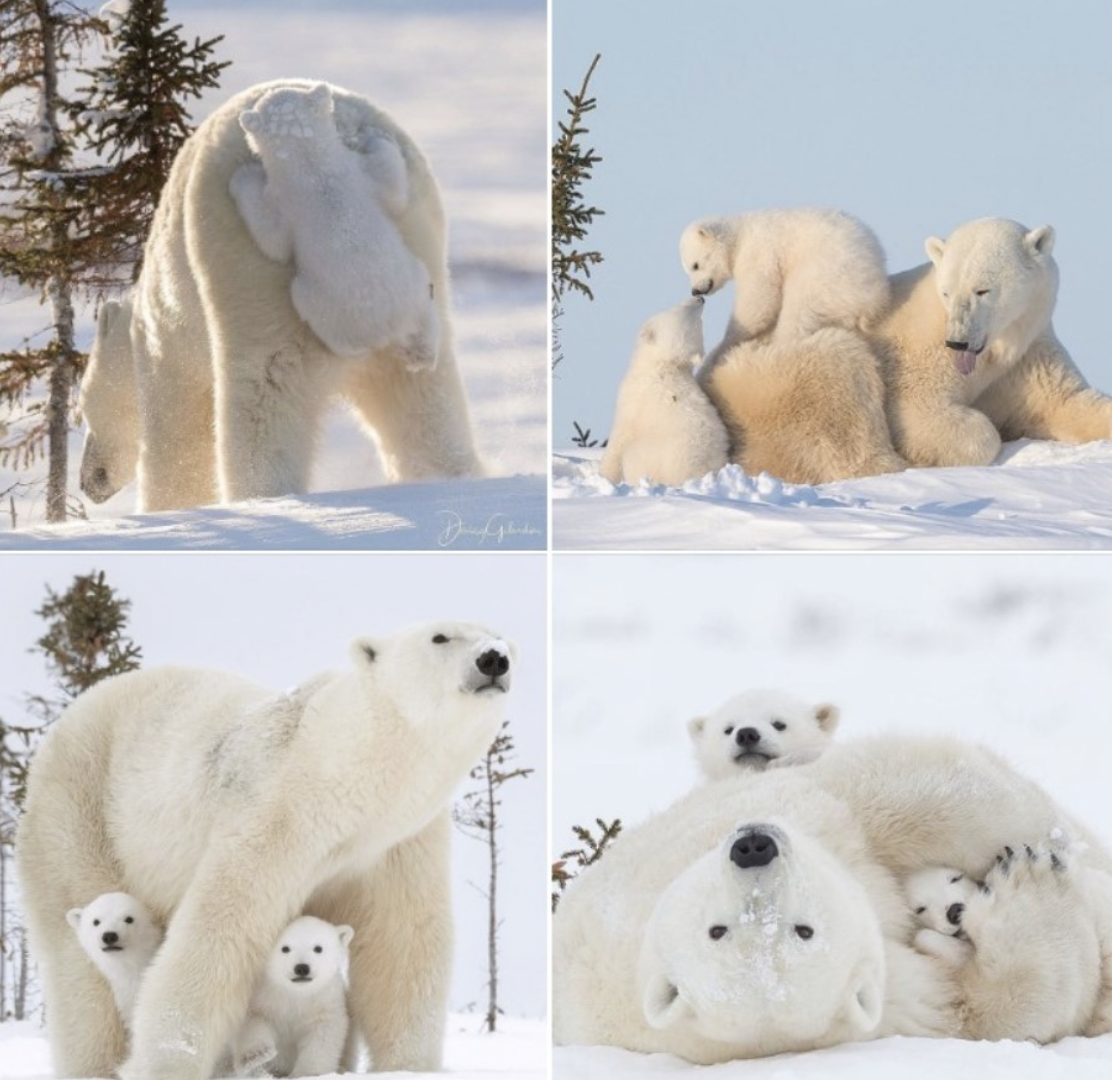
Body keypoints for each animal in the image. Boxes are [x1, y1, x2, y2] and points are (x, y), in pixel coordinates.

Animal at [20, 622, 515, 1080]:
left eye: (501, 635)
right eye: (440, 636)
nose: (494, 658)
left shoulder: (396, 843)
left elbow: (401, 941)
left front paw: (410, 1066)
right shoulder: (277, 812)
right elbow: (220, 926)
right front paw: (167, 1063)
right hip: (80, 810)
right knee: (81, 962)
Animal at [78, 80, 478, 511]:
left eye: (80, 407)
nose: (89, 481)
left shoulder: (167, 342)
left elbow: (178, 437)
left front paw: (170, 507)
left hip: (247, 274)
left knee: (263, 395)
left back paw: (261, 496)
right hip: (418, 246)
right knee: (424, 400)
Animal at [553, 734, 1112, 1063]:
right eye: (720, 929)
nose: (753, 847)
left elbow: (887, 793)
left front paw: (1046, 837)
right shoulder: (891, 1002)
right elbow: (991, 1012)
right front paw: (1031, 876)